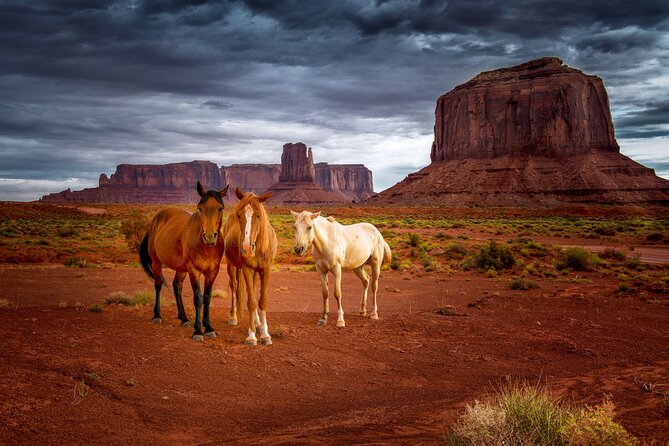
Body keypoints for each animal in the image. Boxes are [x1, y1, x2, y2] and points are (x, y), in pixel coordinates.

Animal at [140, 181, 228, 342]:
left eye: (220, 208)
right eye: (200, 208)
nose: (209, 237)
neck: (206, 247)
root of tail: (155, 220)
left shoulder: (213, 272)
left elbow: (207, 298)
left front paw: (209, 328)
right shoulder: (194, 270)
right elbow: (198, 298)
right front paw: (198, 331)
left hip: (181, 268)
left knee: (177, 287)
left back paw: (184, 319)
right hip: (156, 262)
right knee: (158, 284)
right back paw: (157, 315)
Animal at [224, 186, 276, 346]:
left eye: (258, 215)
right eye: (239, 215)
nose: (246, 248)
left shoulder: (265, 270)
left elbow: (262, 301)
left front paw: (265, 334)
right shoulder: (246, 269)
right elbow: (251, 302)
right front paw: (251, 336)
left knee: (250, 288)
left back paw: (258, 324)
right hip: (231, 266)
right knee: (234, 286)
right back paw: (233, 317)